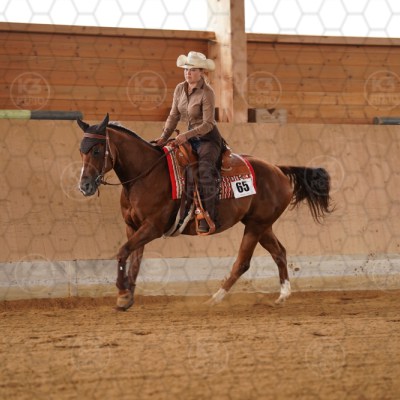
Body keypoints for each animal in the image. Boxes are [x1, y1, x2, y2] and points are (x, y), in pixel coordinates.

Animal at [77, 114, 333, 311]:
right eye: (81, 151)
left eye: (97, 150)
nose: (85, 186)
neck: (146, 174)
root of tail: (278, 169)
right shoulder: (133, 227)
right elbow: (134, 260)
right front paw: (128, 295)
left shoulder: (152, 227)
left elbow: (123, 252)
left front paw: (122, 294)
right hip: (262, 225)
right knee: (279, 253)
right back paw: (282, 296)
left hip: (256, 226)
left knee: (243, 263)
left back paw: (214, 299)